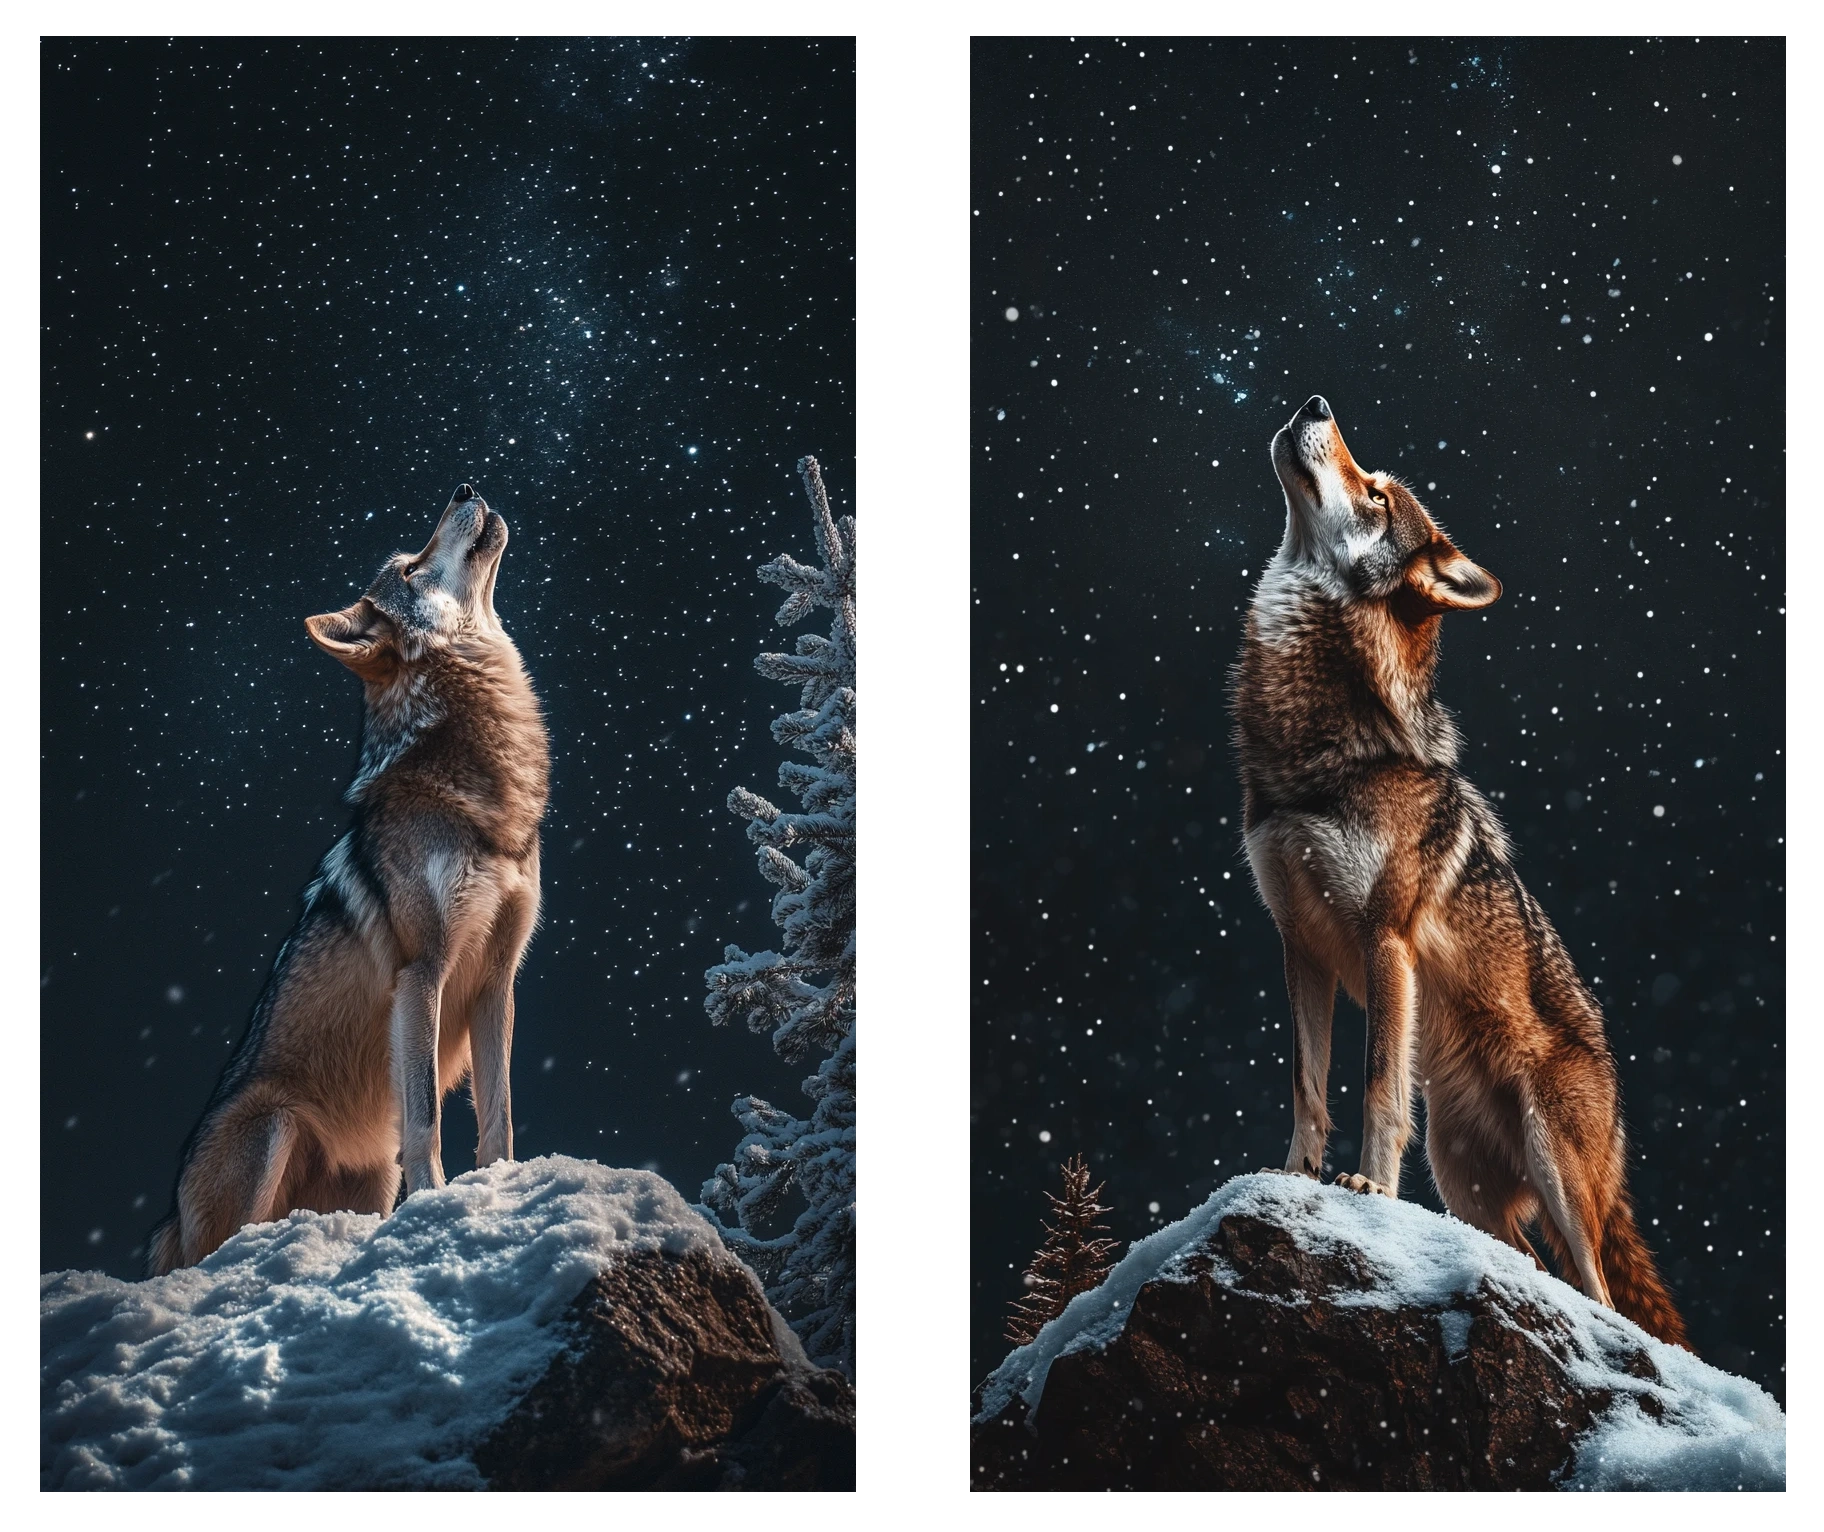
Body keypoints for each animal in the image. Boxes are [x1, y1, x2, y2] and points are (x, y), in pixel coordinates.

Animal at [148, 484, 550, 1275]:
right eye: (412, 565)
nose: (464, 489)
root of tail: (168, 1223)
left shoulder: (498, 981)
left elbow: (500, 1117)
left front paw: (500, 1192)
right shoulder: (423, 971)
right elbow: (428, 1117)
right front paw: (438, 1205)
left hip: (370, 1175)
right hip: (274, 1127)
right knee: (222, 1256)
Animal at [1230, 397, 1688, 1348]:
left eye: (1375, 494)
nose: (1313, 404)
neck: (1314, 752)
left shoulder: (1385, 939)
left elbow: (1374, 1084)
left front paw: (1365, 1187)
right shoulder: (1298, 945)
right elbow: (1306, 1082)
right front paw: (1293, 1176)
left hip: (1555, 1168)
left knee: (1599, 1289)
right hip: (1464, 1179)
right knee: (1531, 1260)